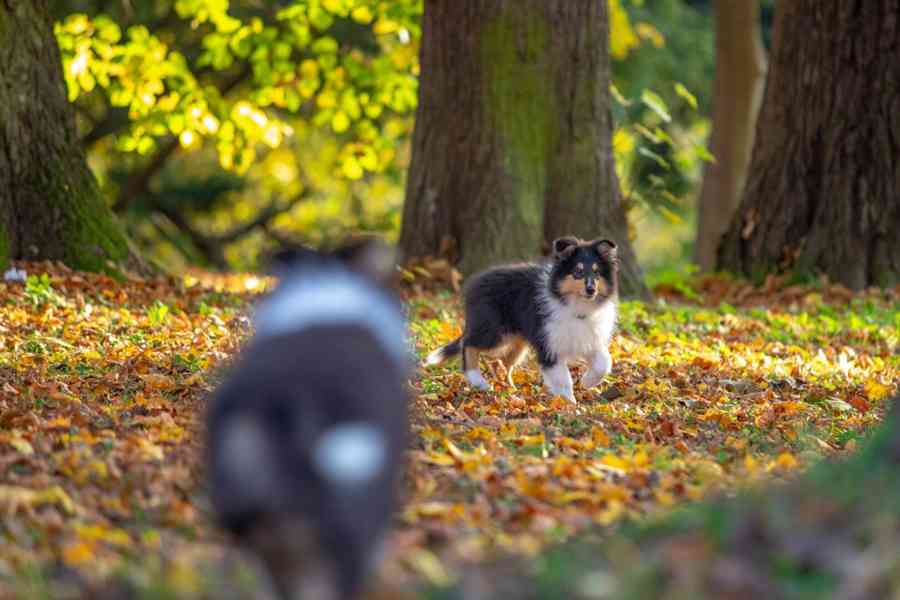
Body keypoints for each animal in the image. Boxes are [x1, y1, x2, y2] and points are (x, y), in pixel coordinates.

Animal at [426, 238, 616, 404]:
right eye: (578, 272)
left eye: (597, 272)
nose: (591, 290)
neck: (576, 307)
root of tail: (474, 283)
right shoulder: (549, 346)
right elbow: (563, 380)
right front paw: (568, 405)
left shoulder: (588, 339)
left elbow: (604, 362)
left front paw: (587, 382)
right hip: (495, 331)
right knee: (468, 344)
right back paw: (478, 380)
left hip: (517, 340)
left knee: (503, 361)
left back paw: (511, 390)